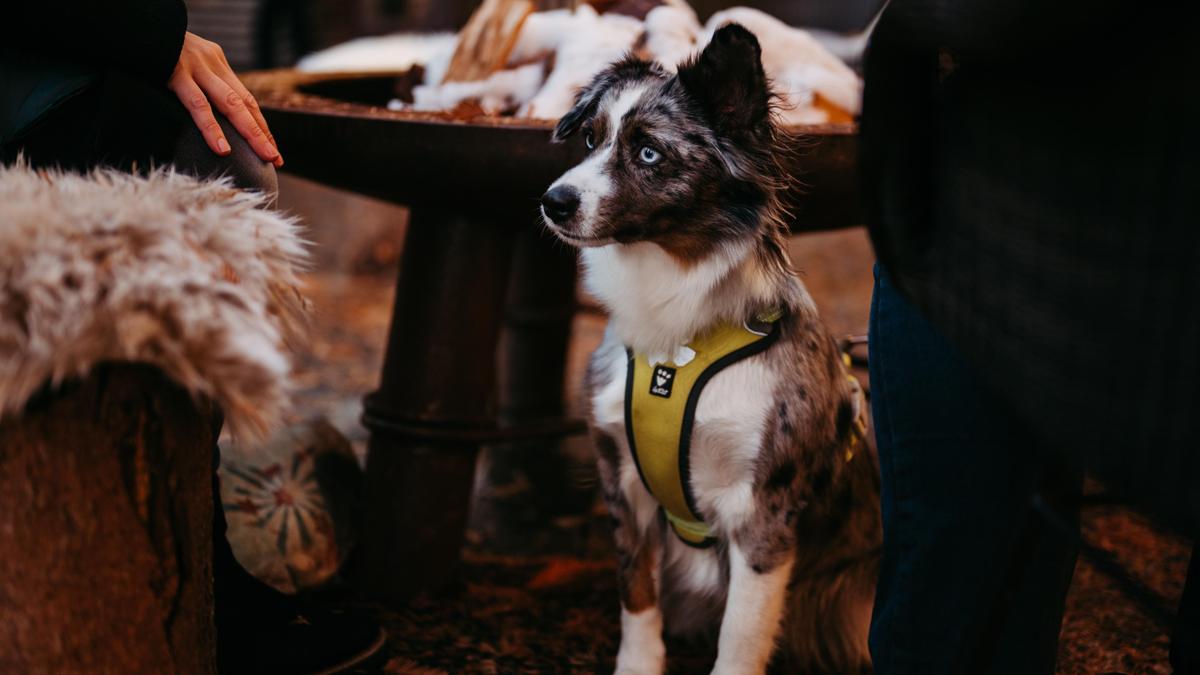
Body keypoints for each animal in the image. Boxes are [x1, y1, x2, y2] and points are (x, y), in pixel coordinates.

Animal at [542, 22, 883, 672]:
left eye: (649, 153)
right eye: (591, 139)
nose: (554, 201)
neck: (675, 344)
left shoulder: (764, 514)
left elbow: (742, 634)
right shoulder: (622, 485)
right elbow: (636, 594)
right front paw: (638, 665)